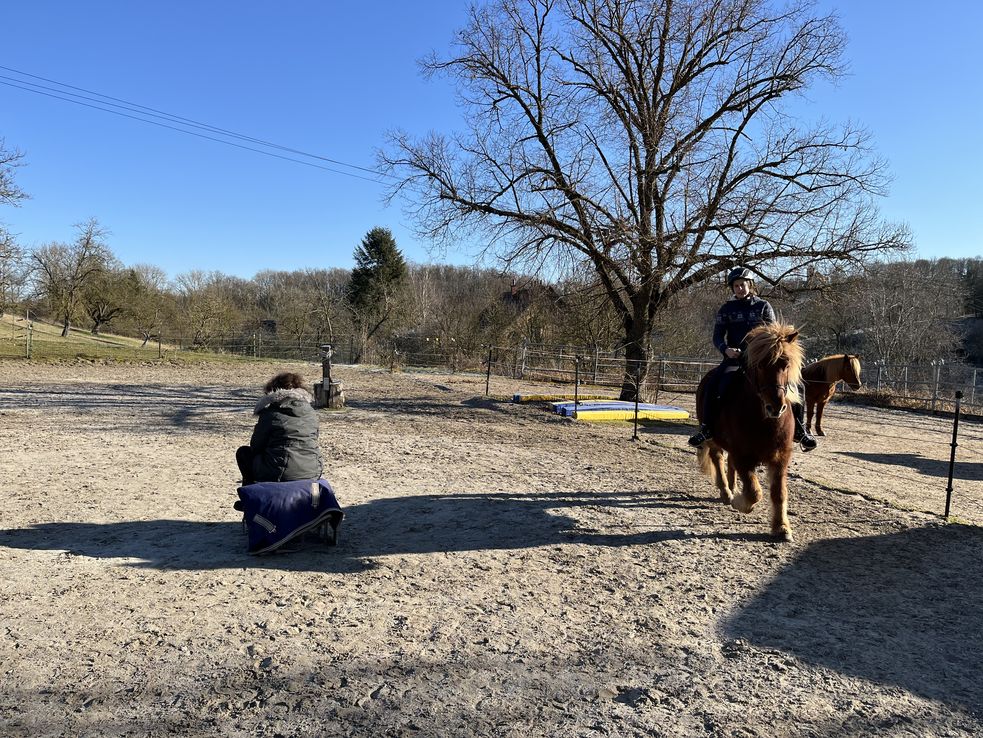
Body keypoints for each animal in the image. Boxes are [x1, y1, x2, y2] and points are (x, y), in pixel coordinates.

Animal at [696, 322, 804, 540]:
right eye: (760, 365)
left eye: (786, 364)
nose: (776, 407)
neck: (764, 421)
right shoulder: (743, 456)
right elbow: (754, 492)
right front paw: (739, 502)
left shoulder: (781, 457)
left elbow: (779, 492)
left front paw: (782, 527)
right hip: (713, 439)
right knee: (717, 458)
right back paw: (727, 492)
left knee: (728, 463)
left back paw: (732, 487)